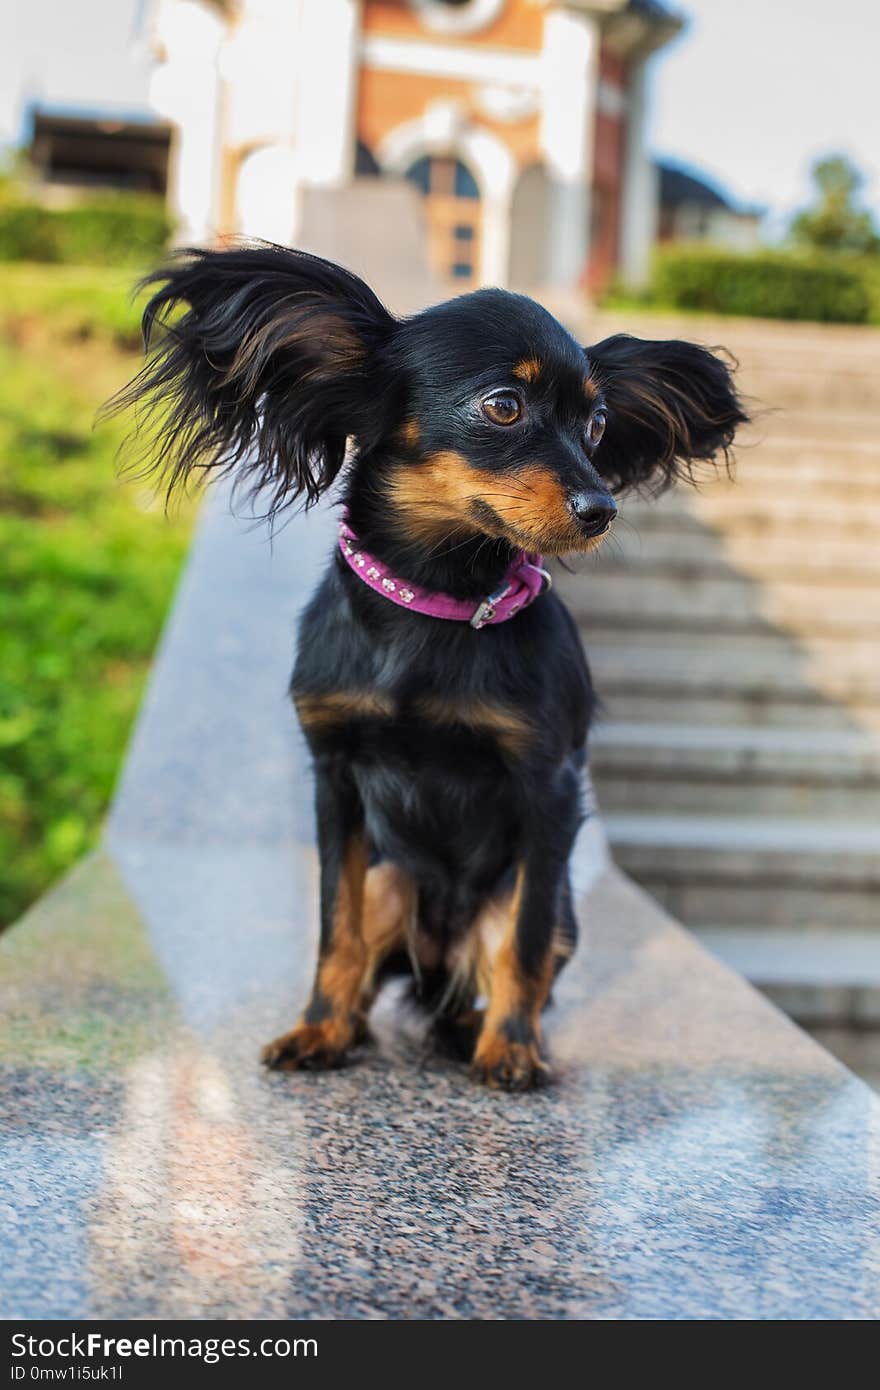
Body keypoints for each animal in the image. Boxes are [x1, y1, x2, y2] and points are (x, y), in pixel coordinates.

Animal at [113, 247, 745, 1095]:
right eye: (504, 406)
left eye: (599, 424)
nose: (601, 509)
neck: (437, 600)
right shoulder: (334, 778)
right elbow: (335, 928)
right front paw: (317, 1029)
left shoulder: (547, 785)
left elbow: (524, 946)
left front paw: (511, 1051)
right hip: (392, 880)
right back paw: (352, 1024)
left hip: (547, 906)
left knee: (510, 960)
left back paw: (482, 1030)